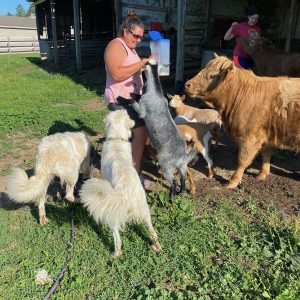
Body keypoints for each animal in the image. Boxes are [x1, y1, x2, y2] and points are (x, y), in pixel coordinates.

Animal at [79, 110, 162, 258]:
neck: (117, 139)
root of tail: (127, 192)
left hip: (112, 214)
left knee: (117, 239)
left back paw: (116, 254)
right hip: (145, 211)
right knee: (152, 232)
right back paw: (157, 247)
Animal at [131, 59, 196, 198]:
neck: (155, 92)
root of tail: (181, 155)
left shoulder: (142, 110)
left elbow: (136, 105)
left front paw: (128, 97)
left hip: (165, 164)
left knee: (174, 181)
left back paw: (170, 197)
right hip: (182, 165)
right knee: (182, 178)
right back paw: (181, 193)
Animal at [185, 54, 300, 188]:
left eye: (211, 75)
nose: (187, 84)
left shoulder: (250, 137)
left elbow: (242, 160)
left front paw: (232, 182)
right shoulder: (267, 135)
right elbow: (266, 154)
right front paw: (262, 175)